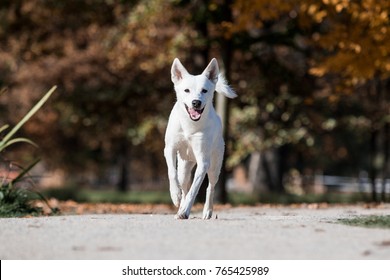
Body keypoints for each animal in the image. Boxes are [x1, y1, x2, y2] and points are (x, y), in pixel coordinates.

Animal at [163, 57, 236, 219]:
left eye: (204, 90)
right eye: (186, 90)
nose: (196, 102)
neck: (190, 125)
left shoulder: (203, 162)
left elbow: (194, 189)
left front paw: (186, 211)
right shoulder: (170, 148)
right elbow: (171, 172)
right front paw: (175, 195)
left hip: (215, 165)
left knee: (211, 187)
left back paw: (207, 211)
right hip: (184, 167)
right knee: (184, 185)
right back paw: (180, 205)